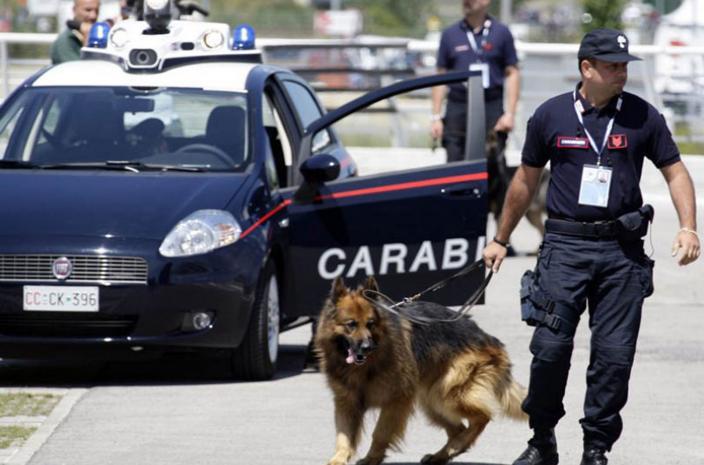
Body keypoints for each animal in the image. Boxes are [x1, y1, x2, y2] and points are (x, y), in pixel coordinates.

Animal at [316, 276, 524, 464]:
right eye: (351, 324)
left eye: (370, 323)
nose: (367, 347)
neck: (366, 366)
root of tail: (487, 337)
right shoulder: (347, 403)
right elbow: (344, 437)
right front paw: (338, 459)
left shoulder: (396, 401)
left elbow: (380, 433)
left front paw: (371, 458)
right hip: (432, 400)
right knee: (459, 429)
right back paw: (445, 453)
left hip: (446, 395)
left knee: (482, 417)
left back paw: (456, 446)